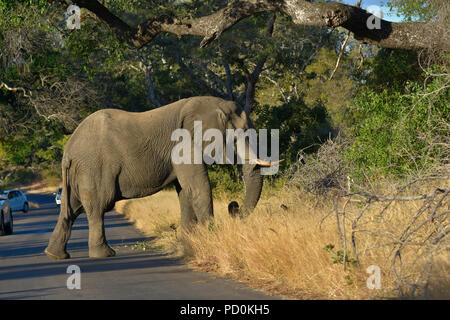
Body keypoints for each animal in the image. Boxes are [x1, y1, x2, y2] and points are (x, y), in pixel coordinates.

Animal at [45, 95, 272, 260]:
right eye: (240, 135)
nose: (233, 207)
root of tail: (68, 149)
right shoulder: (184, 144)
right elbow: (198, 187)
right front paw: (211, 238)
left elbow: (185, 192)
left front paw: (189, 242)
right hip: (94, 168)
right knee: (97, 207)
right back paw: (104, 254)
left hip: (79, 172)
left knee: (71, 210)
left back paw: (56, 255)